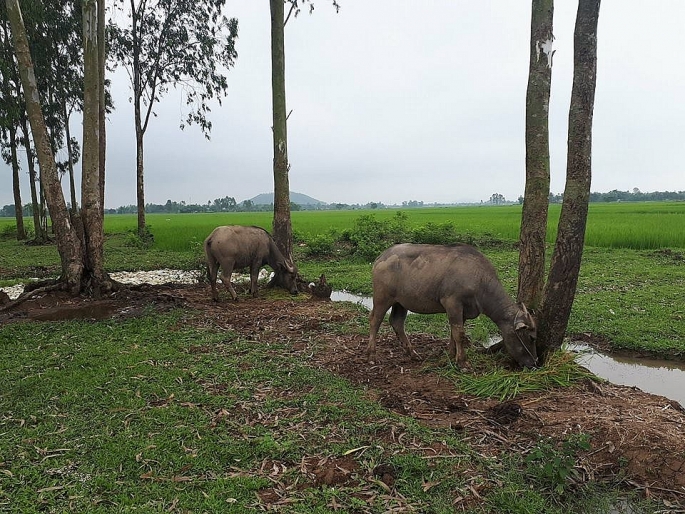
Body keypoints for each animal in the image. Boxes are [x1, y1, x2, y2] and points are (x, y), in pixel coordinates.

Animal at [366, 242, 536, 366]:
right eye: (532, 337)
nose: (535, 362)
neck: (480, 280)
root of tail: (381, 257)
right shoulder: (453, 303)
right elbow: (459, 334)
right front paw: (462, 362)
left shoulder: (464, 311)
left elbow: (454, 332)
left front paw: (451, 354)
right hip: (382, 298)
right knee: (375, 320)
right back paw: (372, 355)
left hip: (401, 302)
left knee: (397, 322)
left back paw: (412, 354)